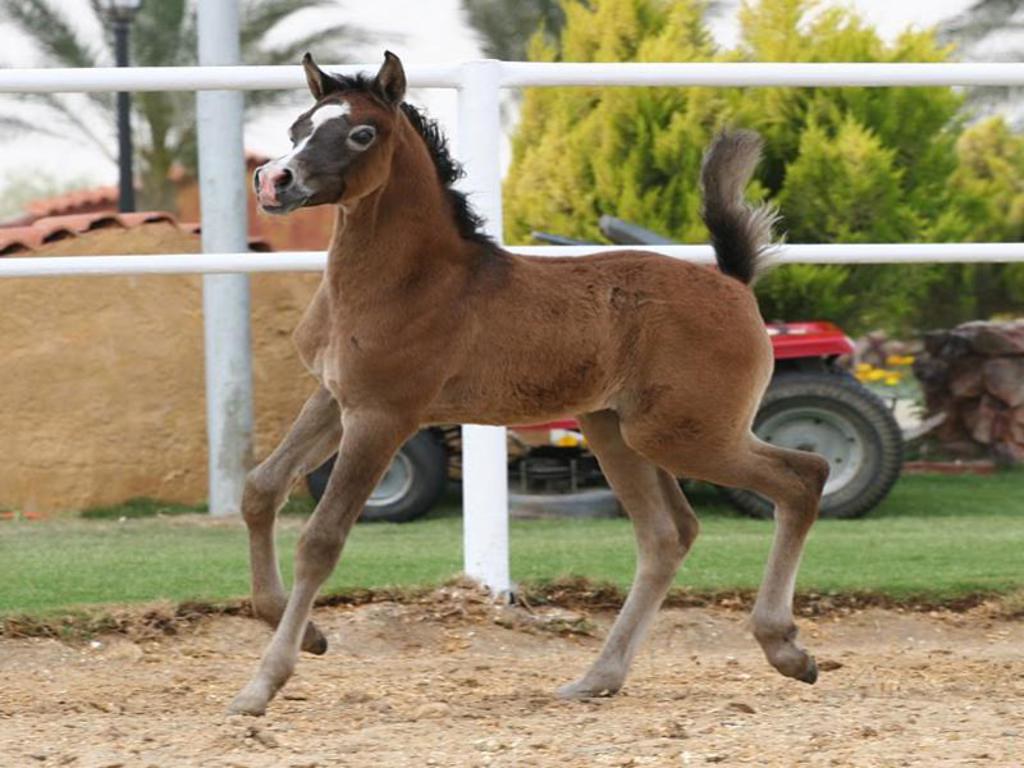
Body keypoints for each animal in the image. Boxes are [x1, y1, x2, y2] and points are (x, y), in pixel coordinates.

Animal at [232, 50, 828, 716]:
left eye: (361, 133)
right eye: (298, 127)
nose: (274, 182)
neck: (411, 280)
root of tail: (735, 282)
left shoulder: (383, 416)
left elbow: (321, 539)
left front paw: (262, 683)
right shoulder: (335, 399)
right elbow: (261, 489)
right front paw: (306, 633)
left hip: (686, 434)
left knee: (804, 476)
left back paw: (784, 647)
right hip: (617, 430)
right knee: (667, 533)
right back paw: (598, 677)